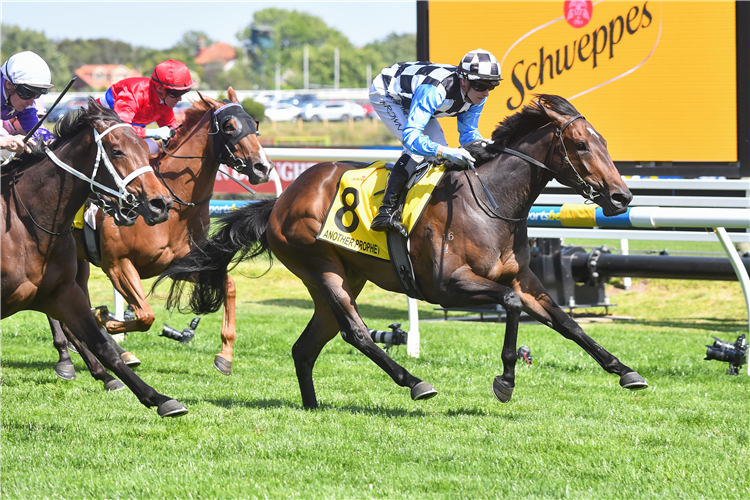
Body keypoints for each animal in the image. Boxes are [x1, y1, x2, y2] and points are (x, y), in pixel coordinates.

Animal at [0, 99, 188, 416]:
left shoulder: (62, 292)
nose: (160, 204)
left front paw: (159, 398)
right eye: (117, 150)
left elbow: (101, 344)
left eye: (144, 147)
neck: (26, 223)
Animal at [48, 89, 274, 382]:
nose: (263, 168)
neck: (175, 206)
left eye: (254, 124)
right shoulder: (118, 264)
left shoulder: (180, 263)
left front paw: (225, 356)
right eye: (229, 126)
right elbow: (145, 316)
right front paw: (105, 318)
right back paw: (70, 358)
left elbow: (230, 287)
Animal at [157, 95, 648, 408]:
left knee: (306, 346)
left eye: (604, 142)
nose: (621, 196)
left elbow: (567, 322)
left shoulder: (522, 278)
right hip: (321, 269)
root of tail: (280, 200)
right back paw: (415, 383)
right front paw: (505, 380)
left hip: (344, 277)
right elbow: (509, 305)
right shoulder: (449, 285)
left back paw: (313, 406)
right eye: (581, 145)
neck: (491, 201)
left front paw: (625, 370)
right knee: (356, 333)